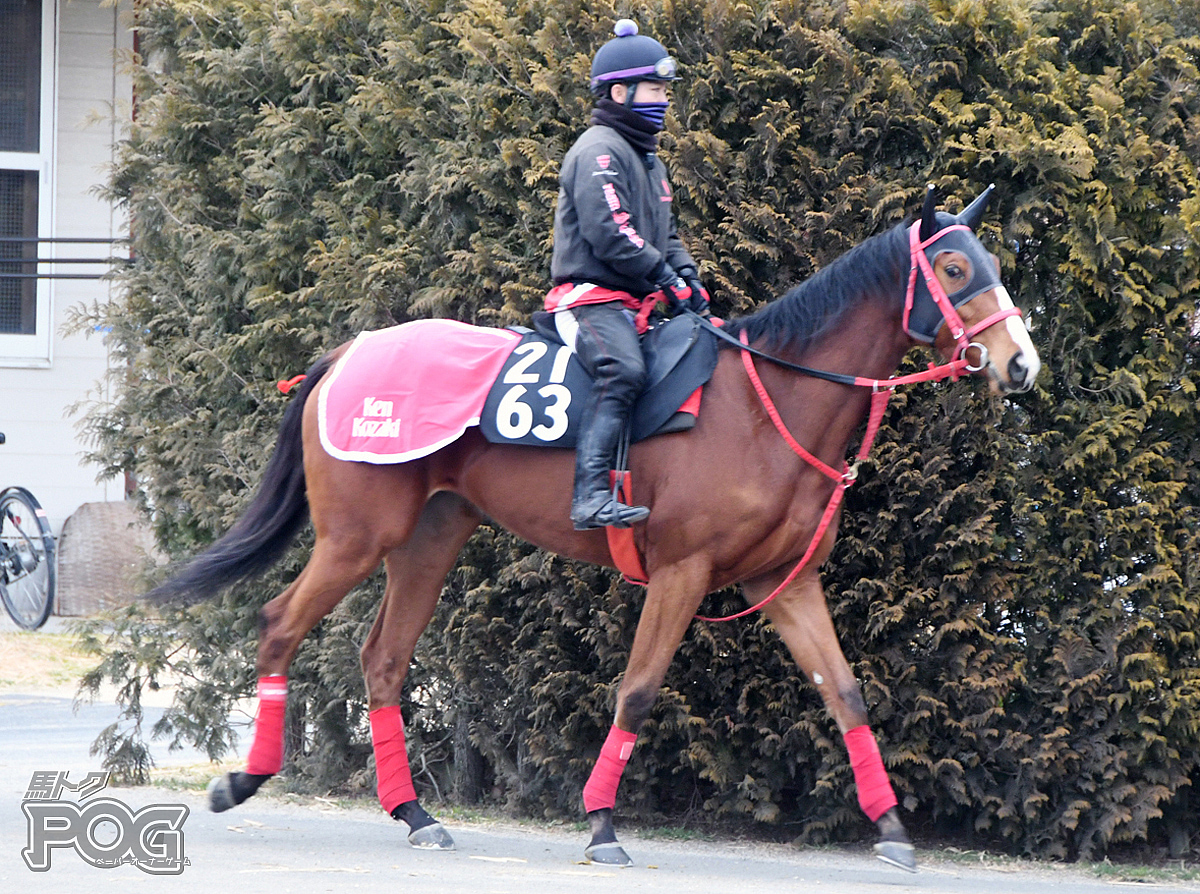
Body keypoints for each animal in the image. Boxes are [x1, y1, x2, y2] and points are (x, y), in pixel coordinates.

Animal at [145, 184, 1036, 868]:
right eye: (954, 267)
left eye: (993, 265)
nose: (1020, 362)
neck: (764, 404)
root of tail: (346, 353)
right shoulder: (681, 571)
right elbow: (637, 690)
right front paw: (603, 821)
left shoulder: (783, 582)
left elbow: (846, 693)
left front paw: (892, 828)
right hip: (355, 537)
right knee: (278, 625)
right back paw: (243, 779)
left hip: (430, 538)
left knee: (385, 660)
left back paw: (416, 814)